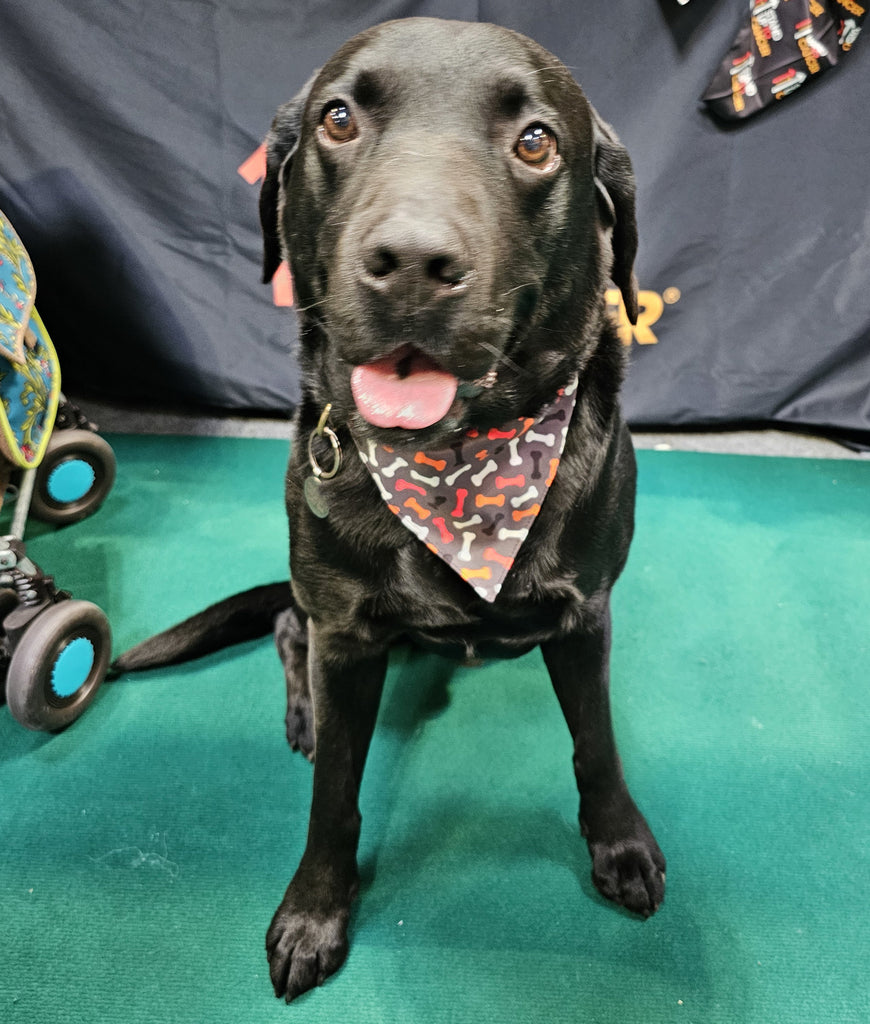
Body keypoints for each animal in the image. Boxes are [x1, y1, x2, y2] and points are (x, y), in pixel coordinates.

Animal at [113, 16, 663, 1003]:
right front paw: (314, 911)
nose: (411, 263)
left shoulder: (586, 613)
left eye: (536, 141)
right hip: (317, 608)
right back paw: (303, 713)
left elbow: (596, 743)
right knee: (287, 630)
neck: (460, 465)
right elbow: (334, 792)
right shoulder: (345, 625)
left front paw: (620, 845)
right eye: (337, 120)